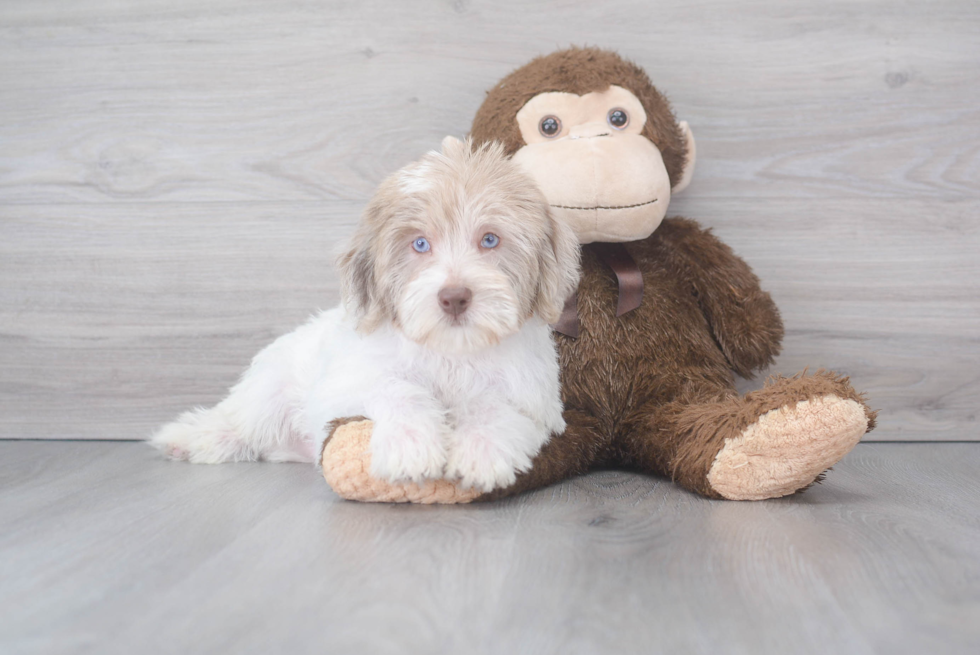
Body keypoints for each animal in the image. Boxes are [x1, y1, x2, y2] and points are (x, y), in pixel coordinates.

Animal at [151, 136, 580, 492]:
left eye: (490, 240)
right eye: (419, 244)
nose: (455, 297)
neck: (449, 351)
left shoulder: (536, 400)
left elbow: (495, 405)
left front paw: (481, 451)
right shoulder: (346, 382)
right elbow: (395, 388)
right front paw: (410, 446)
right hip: (270, 389)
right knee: (241, 420)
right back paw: (191, 437)